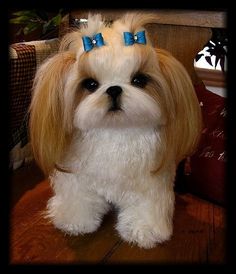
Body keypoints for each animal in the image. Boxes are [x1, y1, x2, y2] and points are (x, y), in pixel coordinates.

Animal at [29, 12, 202, 248]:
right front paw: (75, 221)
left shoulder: (149, 185)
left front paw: (143, 230)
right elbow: (78, 198)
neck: (114, 131)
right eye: (90, 84)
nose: (113, 89)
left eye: (139, 80)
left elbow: (145, 206)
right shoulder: (78, 180)